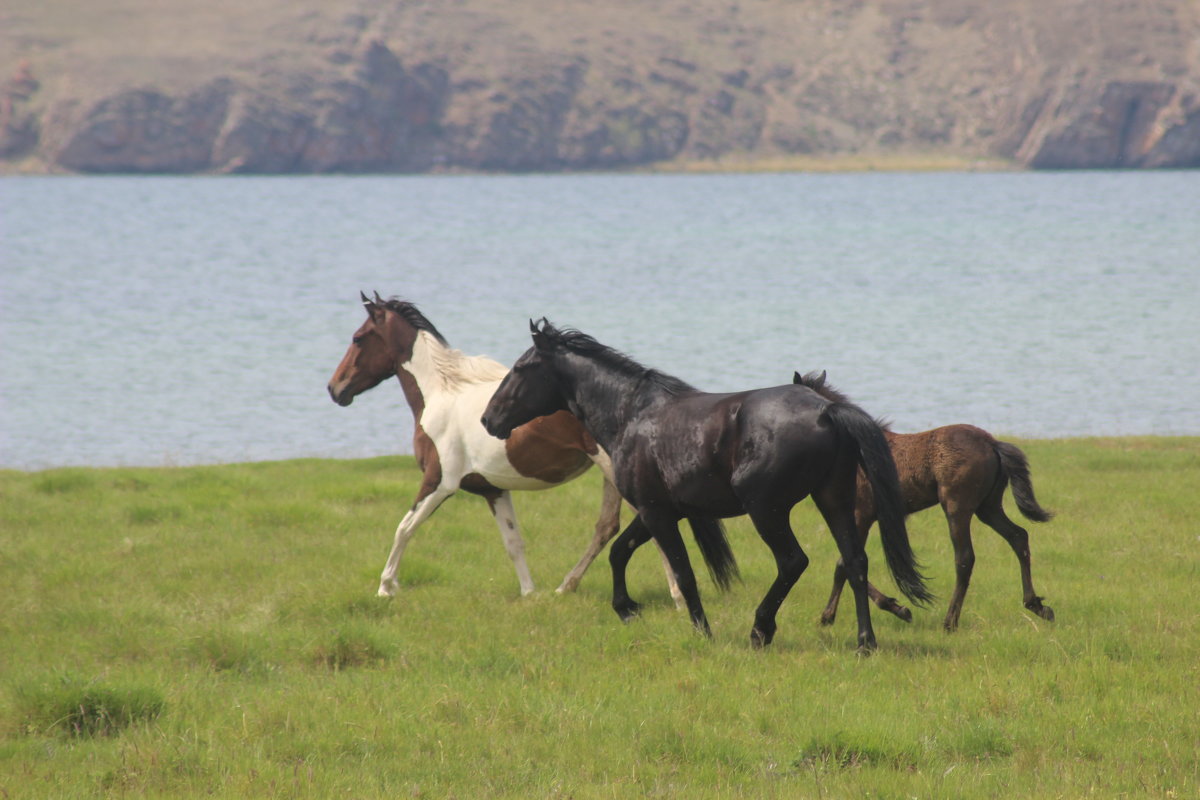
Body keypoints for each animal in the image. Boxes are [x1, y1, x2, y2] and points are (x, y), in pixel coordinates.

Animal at [328, 293, 681, 599]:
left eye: (358, 338)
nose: (335, 388)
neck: (442, 395)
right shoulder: (493, 490)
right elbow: (513, 542)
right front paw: (529, 594)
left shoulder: (439, 481)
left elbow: (404, 527)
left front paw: (386, 588)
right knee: (607, 526)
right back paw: (566, 586)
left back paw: (677, 595)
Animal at [482, 319, 931, 652]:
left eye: (520, 369)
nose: (489, 419)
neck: (632, 415)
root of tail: (825, 410)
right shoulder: (659, 511)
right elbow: (619, 551)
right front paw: (627, 609)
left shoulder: (657, 513)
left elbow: (683, 573)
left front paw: (702, 632)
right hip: (832, 500)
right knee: (854, 562)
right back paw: (864, 642)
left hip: (767, 510)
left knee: (793, 562)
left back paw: (761, 630)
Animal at [792, 371, 1056, 633]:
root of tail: (993, 444)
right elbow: (845, 563)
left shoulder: (861, 514)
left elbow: (844, 563)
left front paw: (835, 615)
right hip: (988, 508)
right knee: (1018, 536)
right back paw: (1037, 605)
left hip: (957, 507)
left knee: (965, 558)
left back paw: (950, 621)